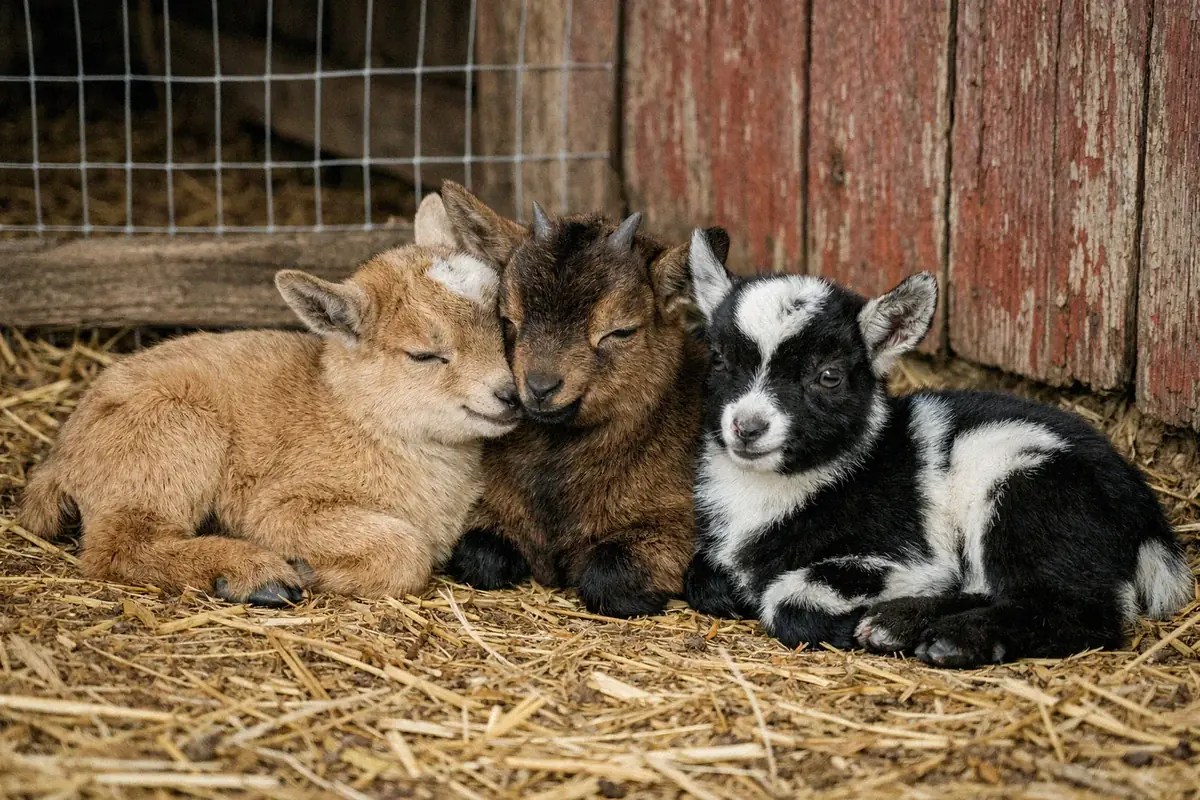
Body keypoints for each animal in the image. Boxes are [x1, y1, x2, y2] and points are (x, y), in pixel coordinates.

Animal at [20, 196, 518, 605]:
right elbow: (407, 554)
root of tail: (60, 458)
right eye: (424, 354)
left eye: (502, 327)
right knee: (119, 547)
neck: (354, 421)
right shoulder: (276, 508)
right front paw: (306, 569)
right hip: (171, 434)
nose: (510, 394)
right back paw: (254, 576)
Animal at [683, 231, 1195, 667]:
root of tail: (1147, 518)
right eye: (720, 359)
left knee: (1080, 609)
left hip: (1030, 489)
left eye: (828, 375)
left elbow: (788, 601)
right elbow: (702, 578)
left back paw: (938, 635)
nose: (747, 427)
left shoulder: (905, 555)